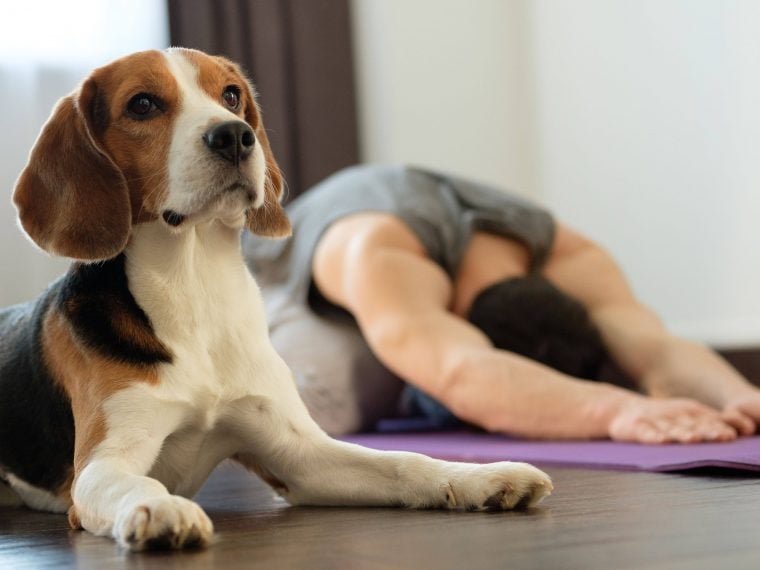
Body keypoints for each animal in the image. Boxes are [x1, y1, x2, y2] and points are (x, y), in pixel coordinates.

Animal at [0, 50, 548, 552]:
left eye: (230, 95)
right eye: (142, 104)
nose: (235, 135)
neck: (195, 289)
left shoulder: (300, 454)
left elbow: (402, 462)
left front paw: (482, 477)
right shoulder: (102, 463)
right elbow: (134, 480)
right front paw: (159, 506)